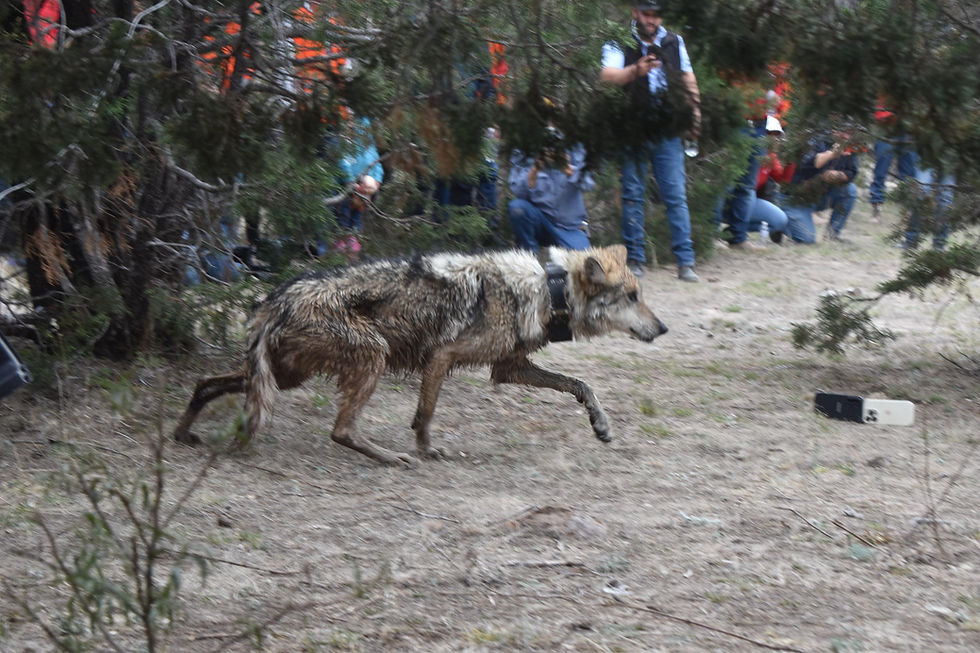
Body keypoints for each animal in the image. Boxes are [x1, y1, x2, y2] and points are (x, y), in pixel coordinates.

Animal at [172, 244, 668, 465]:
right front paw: (427, 450)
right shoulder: (442, 358)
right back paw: (392, 458)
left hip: (284, 376)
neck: (547, 290)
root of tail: (276, 297)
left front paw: (601, 425)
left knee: (205, 383)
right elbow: (426, 414)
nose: (663, 328)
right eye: (632, 296)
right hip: (367, 358)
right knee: (340, 430)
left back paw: (183, 433)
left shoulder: (508, 368)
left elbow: (582, 385)